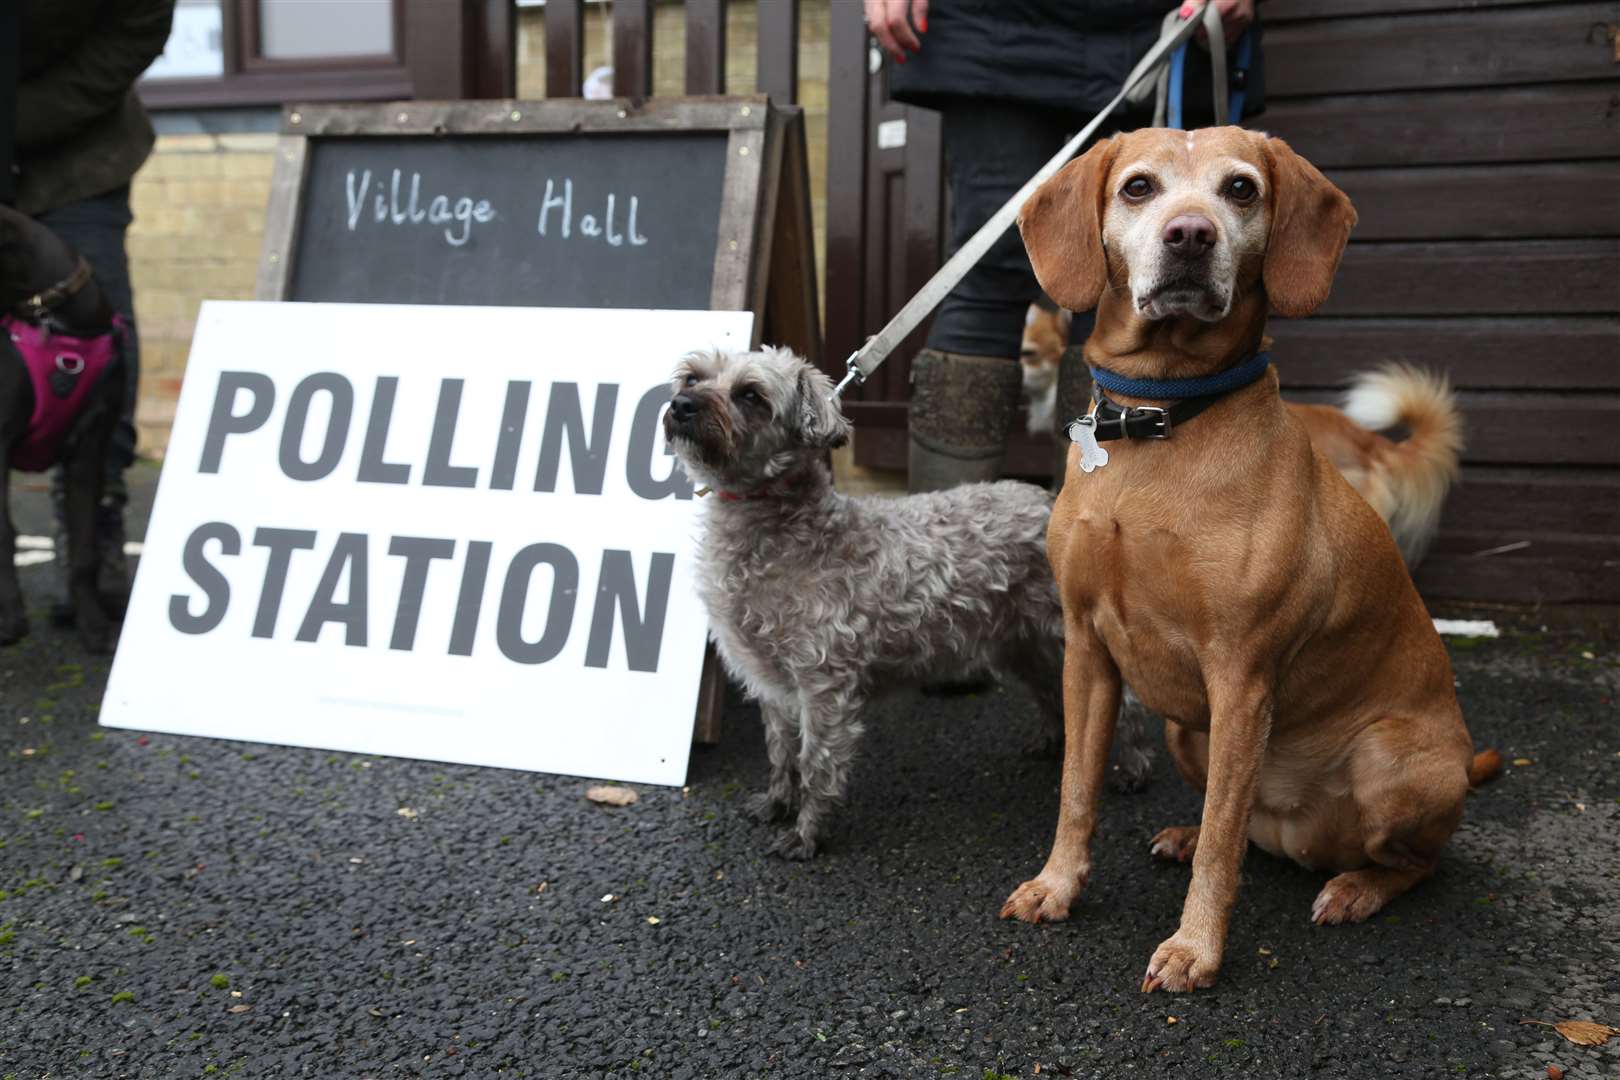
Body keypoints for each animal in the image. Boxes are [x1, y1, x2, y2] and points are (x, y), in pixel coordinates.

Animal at [660, 348, 1153, 861]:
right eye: (692, 377)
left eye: (751, 395)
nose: (682, 405)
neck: (782, 534)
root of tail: (1049, 501)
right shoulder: (772, 685)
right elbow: (780, 752)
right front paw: (777, 803)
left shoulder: (822, 687)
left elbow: (816, 763)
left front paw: (806, 834)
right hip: (1021, 642)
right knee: (1048, 691)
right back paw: (1051, 741)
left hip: (1060, 636)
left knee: (1124, 701)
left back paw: (1134, 766)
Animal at [1004, 128, 1496, 997]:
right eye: (1138, 187)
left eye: (1241, 189)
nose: (1191, 235)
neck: (1161, 423)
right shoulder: (1086, 652)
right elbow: (1076, 790)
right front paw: (1058, 886)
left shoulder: (1240, 676)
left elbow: (1221, 839)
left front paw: (1195, 948)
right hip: (1184, 730)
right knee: (1244, 832)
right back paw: (1187, 835)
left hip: (1385, 759)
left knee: (1407, 861)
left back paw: (1355, 888)